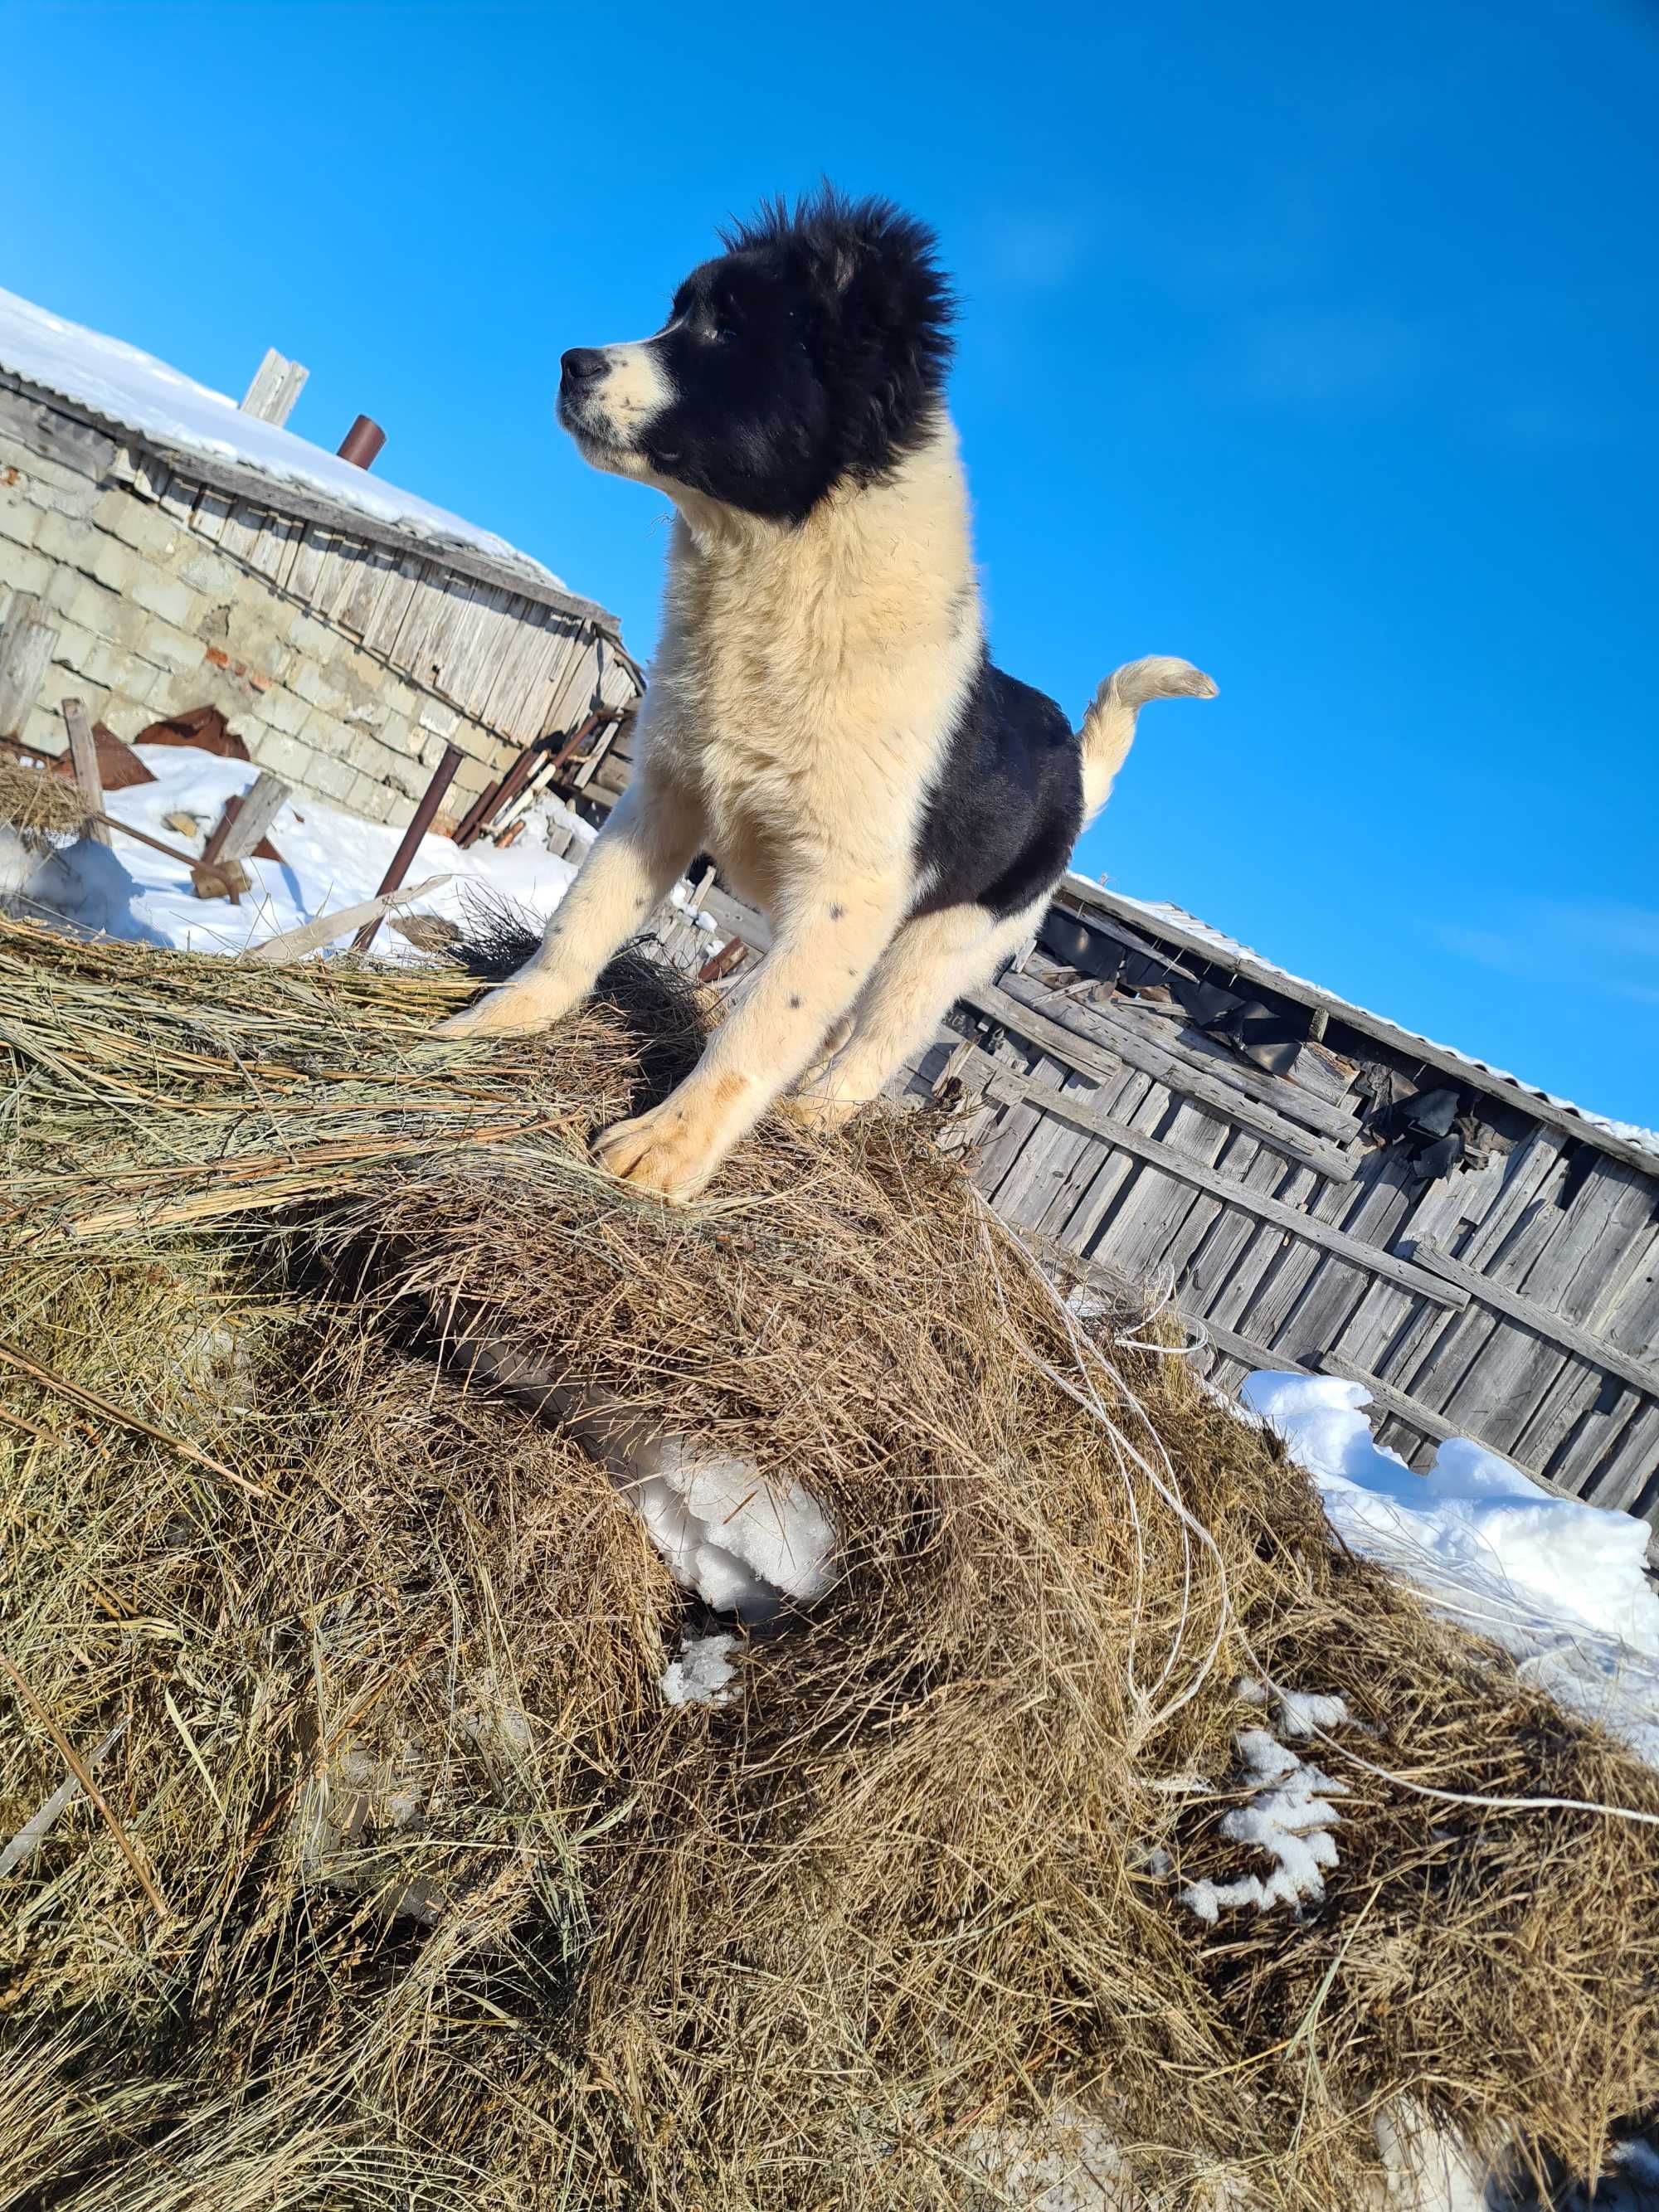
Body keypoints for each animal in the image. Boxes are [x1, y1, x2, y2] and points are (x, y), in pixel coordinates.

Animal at [442, 187, 1212, 1194]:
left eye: (728, 330)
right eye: (678, 312)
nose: (571, 362)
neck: (775, 575)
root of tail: (1077, 771)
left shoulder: (847, 891)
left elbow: (759, 1026)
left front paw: (666, 1152)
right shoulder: (661, 800)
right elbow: (581, 922)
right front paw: (492, 1022)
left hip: (940, 946)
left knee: (875, 1043)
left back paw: (813, 1116)